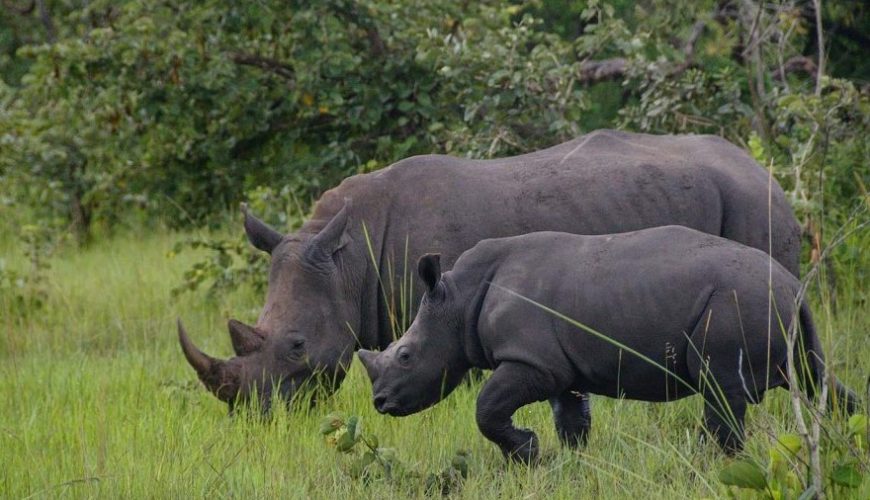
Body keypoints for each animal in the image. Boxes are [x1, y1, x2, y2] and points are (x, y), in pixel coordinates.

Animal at [360, 225, 860, 462]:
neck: (458, 299)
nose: (380, 403)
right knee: (816, 380)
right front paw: (562, 463)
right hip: (777, 311)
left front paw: (527, 452)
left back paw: (707, 461)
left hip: (738, 302)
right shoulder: (560, 368)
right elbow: (572, 420)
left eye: (405, 356)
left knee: (721, 390)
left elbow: (487, 408)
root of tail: (794, 287)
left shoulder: (531, 361)